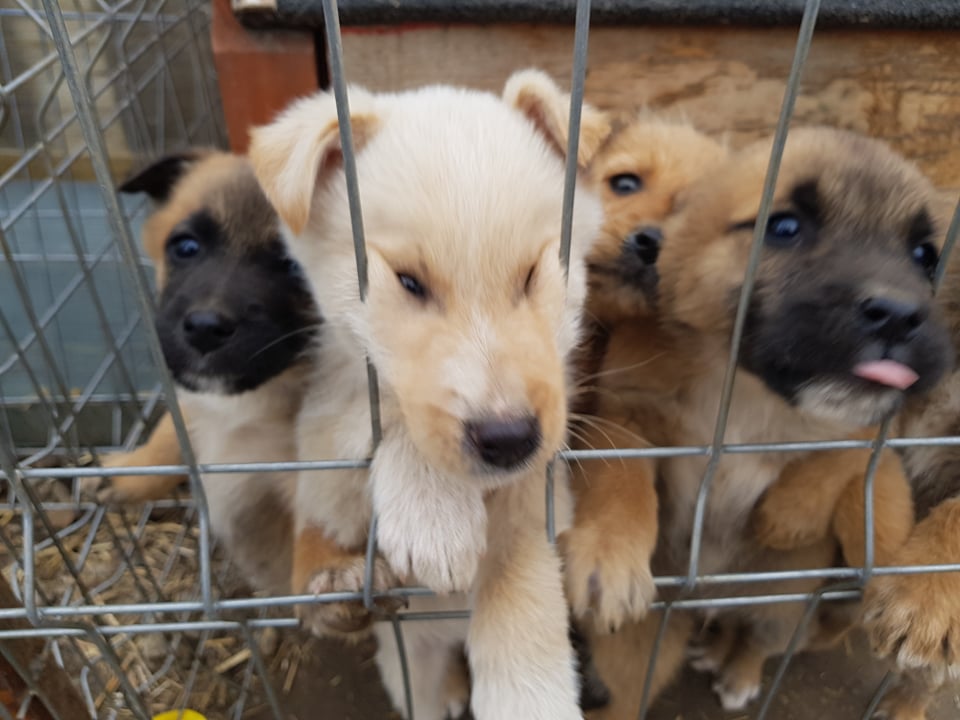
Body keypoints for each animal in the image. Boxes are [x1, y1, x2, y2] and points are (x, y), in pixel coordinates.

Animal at [248, 69, 608, 720]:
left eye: (532, 275)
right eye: (409, 282)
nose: (508, 439)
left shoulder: (540, 501)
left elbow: (518, 585)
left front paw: (529, 694)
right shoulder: (331, 432)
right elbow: (380, 419)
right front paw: (433, 510)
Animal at [588, 126, 956, 716]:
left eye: (924, 255)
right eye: (784, 227)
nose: (900, 316)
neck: (747, 394)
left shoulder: (866, 426)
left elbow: (843, 458)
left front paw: (787, 519)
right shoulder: (627, 408)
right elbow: (619, 474)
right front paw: (609, 553)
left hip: (779, 612)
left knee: (757, 643)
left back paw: (737, 672)